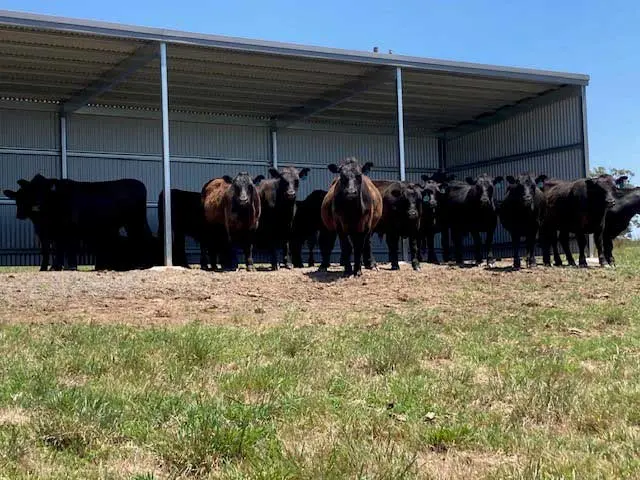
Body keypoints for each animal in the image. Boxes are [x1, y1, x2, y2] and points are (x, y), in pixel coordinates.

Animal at [4, 174, 153, 271]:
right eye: (31, 191)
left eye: (45, 190)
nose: (36, 206)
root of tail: (139, 184)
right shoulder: (47, 232)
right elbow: (49, 249)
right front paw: (47, 267)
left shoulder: (67, 228)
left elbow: (65, 247)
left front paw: (65, 266)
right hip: (132, 223)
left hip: (136, 220)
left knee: (143, 237)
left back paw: (143, 265)